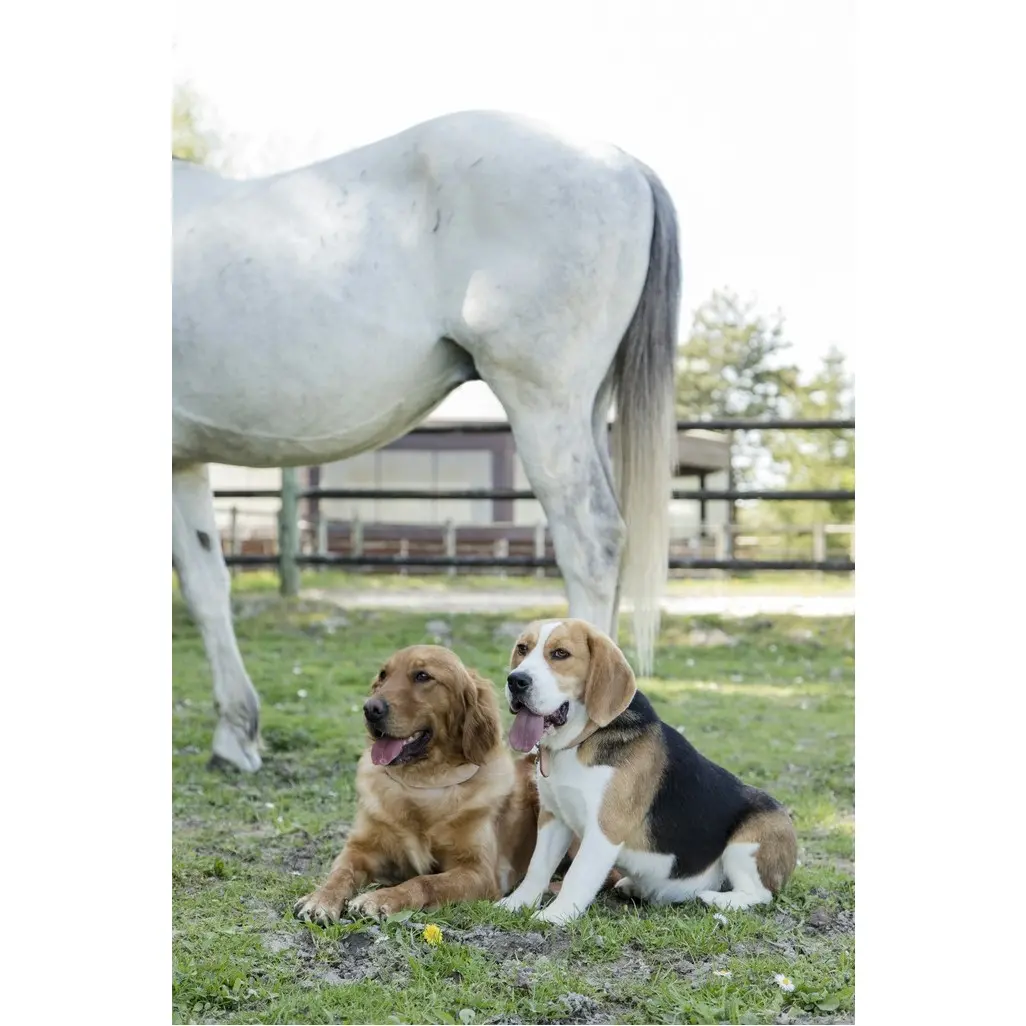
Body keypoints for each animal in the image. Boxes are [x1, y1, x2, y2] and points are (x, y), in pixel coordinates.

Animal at [172, 110, 677, 771]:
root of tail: (627, 166)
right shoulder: (183, 461)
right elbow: (207, 585)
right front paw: (236, 735)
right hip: (586, 409)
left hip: (544, 403)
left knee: (591, 542)